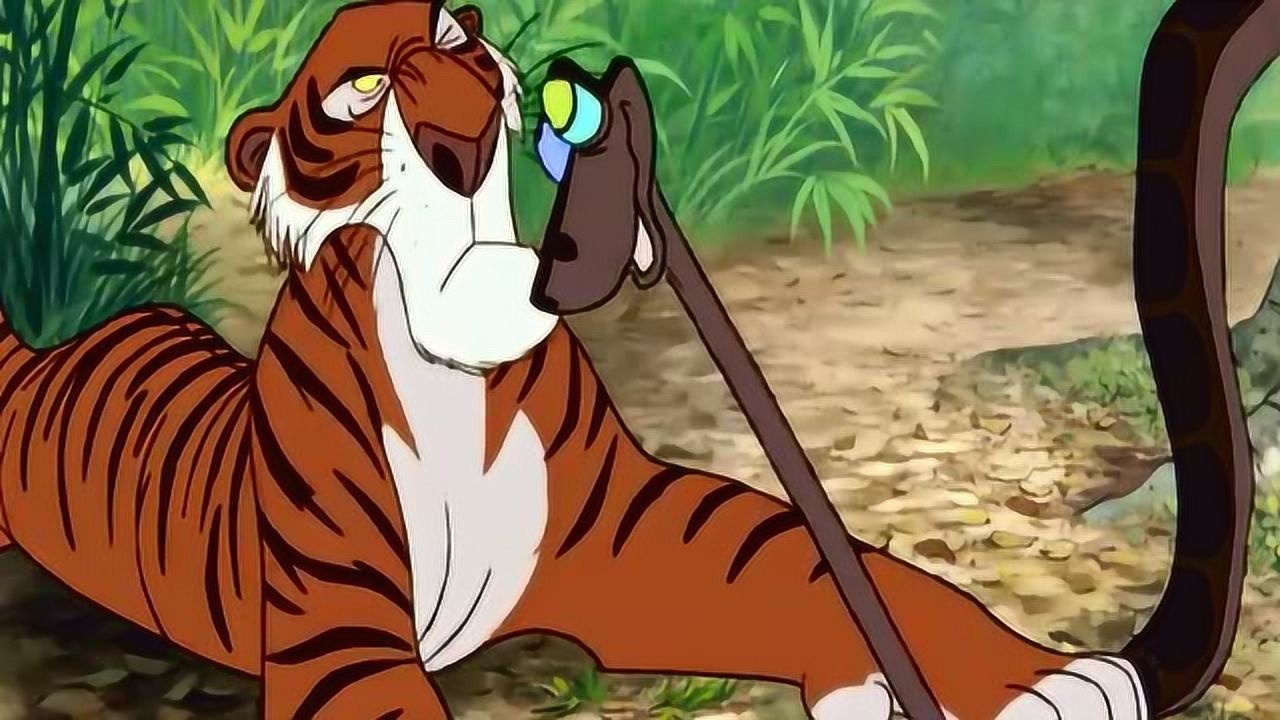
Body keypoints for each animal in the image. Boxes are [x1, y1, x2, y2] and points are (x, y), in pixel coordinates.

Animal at [0, 0, 1263, 717]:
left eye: (449, 31)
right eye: (360, 84)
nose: (456, 64)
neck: (457, 338)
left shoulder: (656, 531)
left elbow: (890, 588)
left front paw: (1061, 680)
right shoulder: (336, 631)